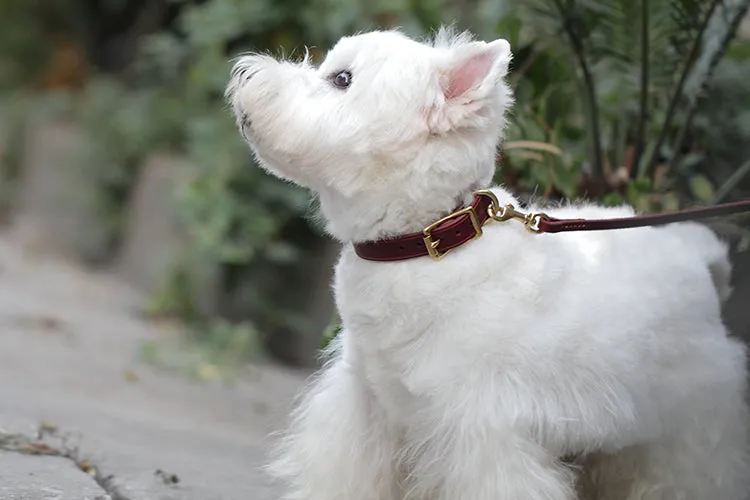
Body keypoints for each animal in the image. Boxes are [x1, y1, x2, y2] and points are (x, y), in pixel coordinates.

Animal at [229, 27, 750, 500]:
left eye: (342, 79)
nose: (245, 72)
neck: (426, 240)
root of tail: (699, 256)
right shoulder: (368, 411)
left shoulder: (483, 433)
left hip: (685, 432)